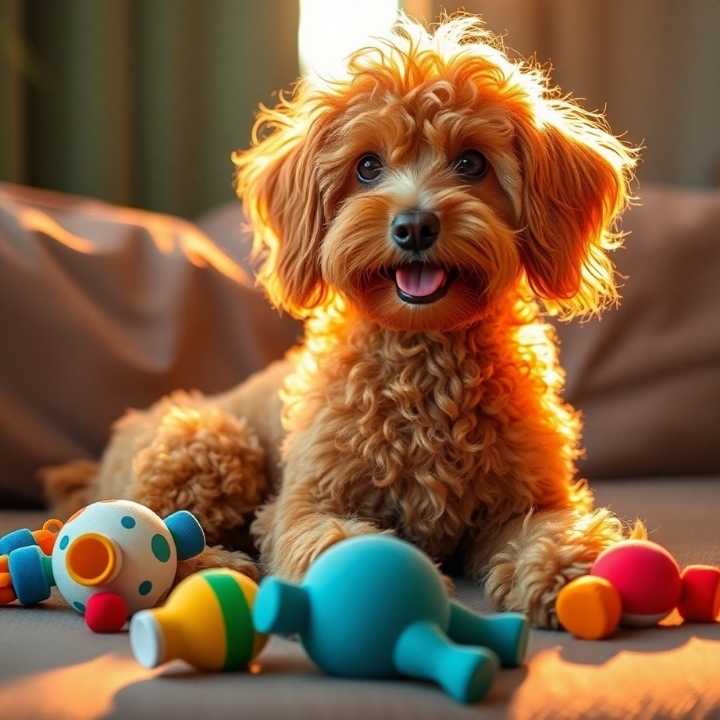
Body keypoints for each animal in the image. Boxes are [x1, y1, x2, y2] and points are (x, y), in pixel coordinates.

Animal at [46, 14, 640, 628]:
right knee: (160, 527)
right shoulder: (306, 503)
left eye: (471, 162)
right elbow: (333, 539)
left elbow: (549, 529)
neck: (423, 358)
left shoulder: (527, 498)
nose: (415, 225)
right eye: (368, 166)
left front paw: (570, 570)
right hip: (210, 441)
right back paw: (219, 566)